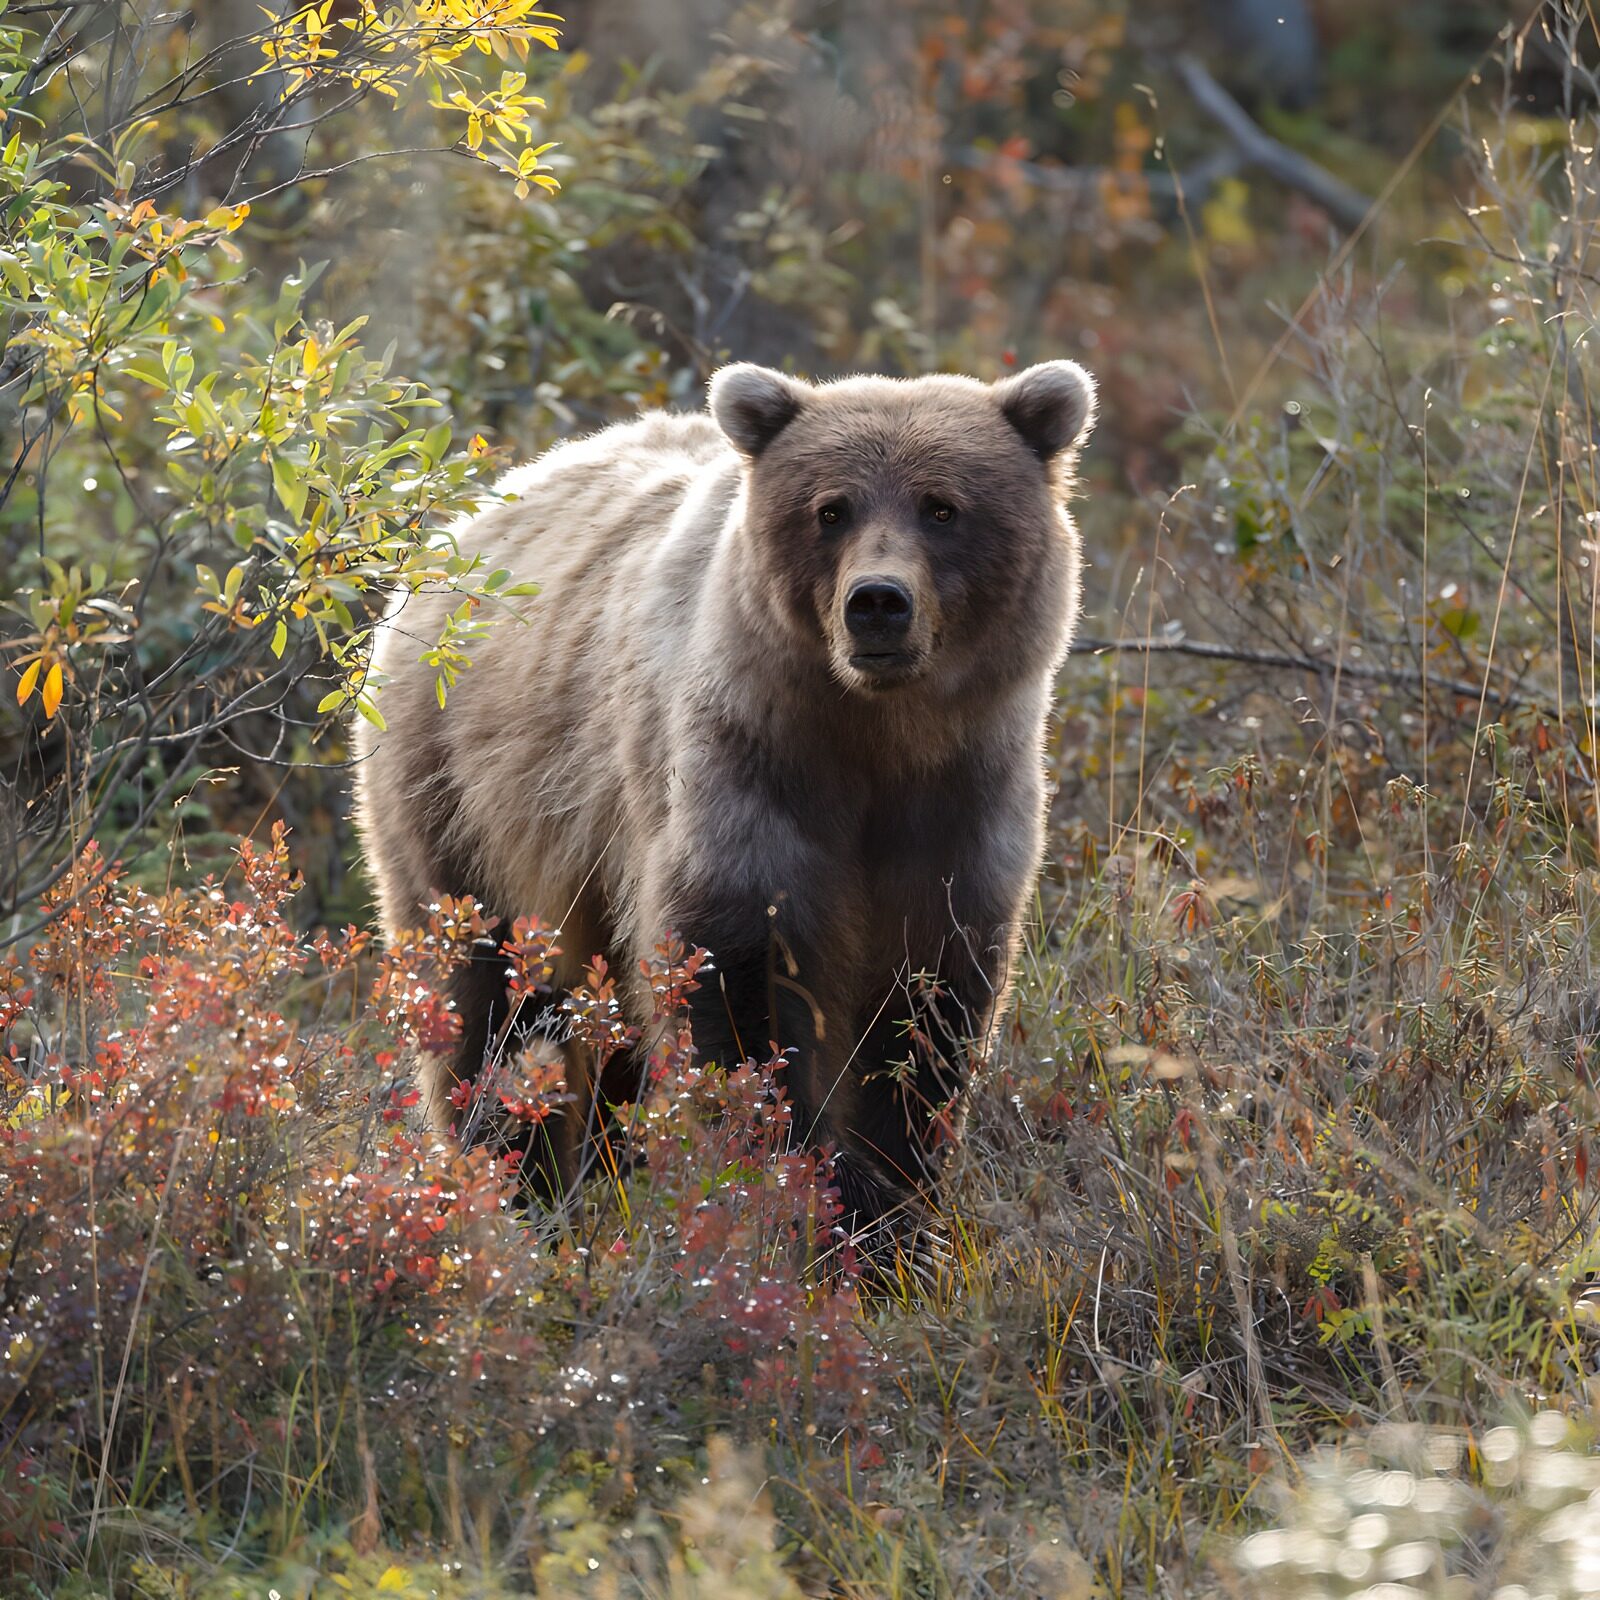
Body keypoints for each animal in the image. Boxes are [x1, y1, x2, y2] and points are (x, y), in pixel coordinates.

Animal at [352, 359, 1096, 1238]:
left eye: (942, 505)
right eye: (831, 509)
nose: (878, 602)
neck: (871, 738)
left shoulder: (960, 807)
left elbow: (925, 1022)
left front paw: (889, 1218)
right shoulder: (743, 780)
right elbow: (736, 1000)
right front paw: (780, 1194)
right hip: (459, 797)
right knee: (484, 1006)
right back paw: (514, 1191)